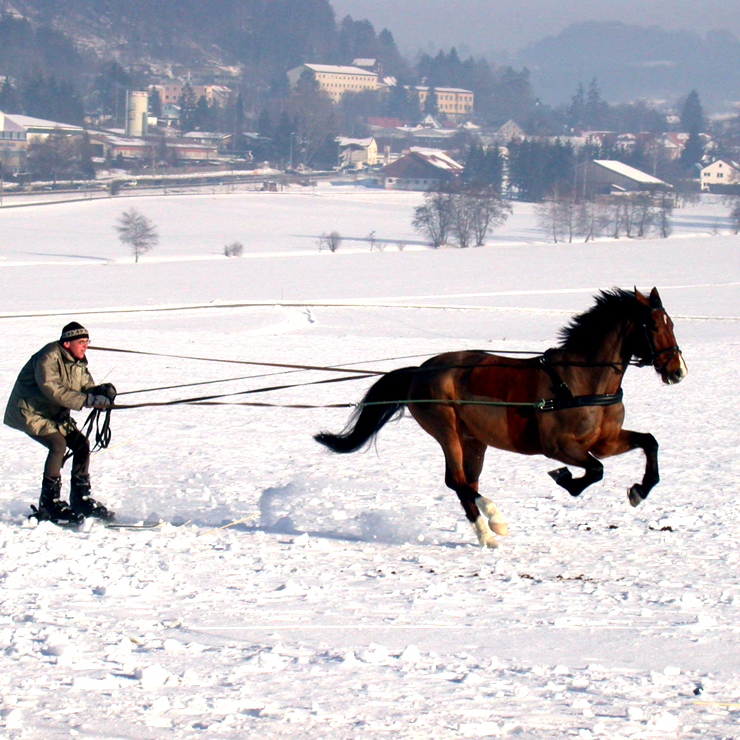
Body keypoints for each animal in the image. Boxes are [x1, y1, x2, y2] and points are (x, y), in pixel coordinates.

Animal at [314, 286, 688, 548]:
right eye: (652, 325)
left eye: (671, 323)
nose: (678, 371)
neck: (582, 381)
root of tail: (419, 371)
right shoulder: (559, 446)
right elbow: (595, 470)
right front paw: (565, 479)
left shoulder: (605, 441)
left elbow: (648, 443)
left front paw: (639, 490)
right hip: (447, 431)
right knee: (457, 481)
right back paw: (494, 525)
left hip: (474, 440)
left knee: (467, 484)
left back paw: (489, 532)